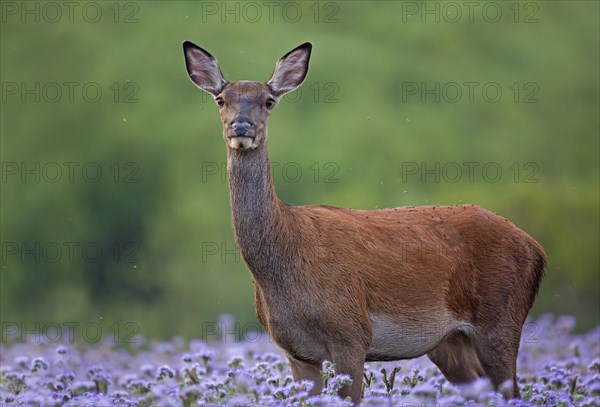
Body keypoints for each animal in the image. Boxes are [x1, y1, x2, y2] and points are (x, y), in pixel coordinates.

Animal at [183, 39, 548, 404]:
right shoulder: (296, 352)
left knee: (513, 390)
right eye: (221, 99)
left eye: (268, 101)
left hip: (500, 318)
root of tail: (537, 250)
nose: (241, 127)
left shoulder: (351, 333)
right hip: (451, 341)